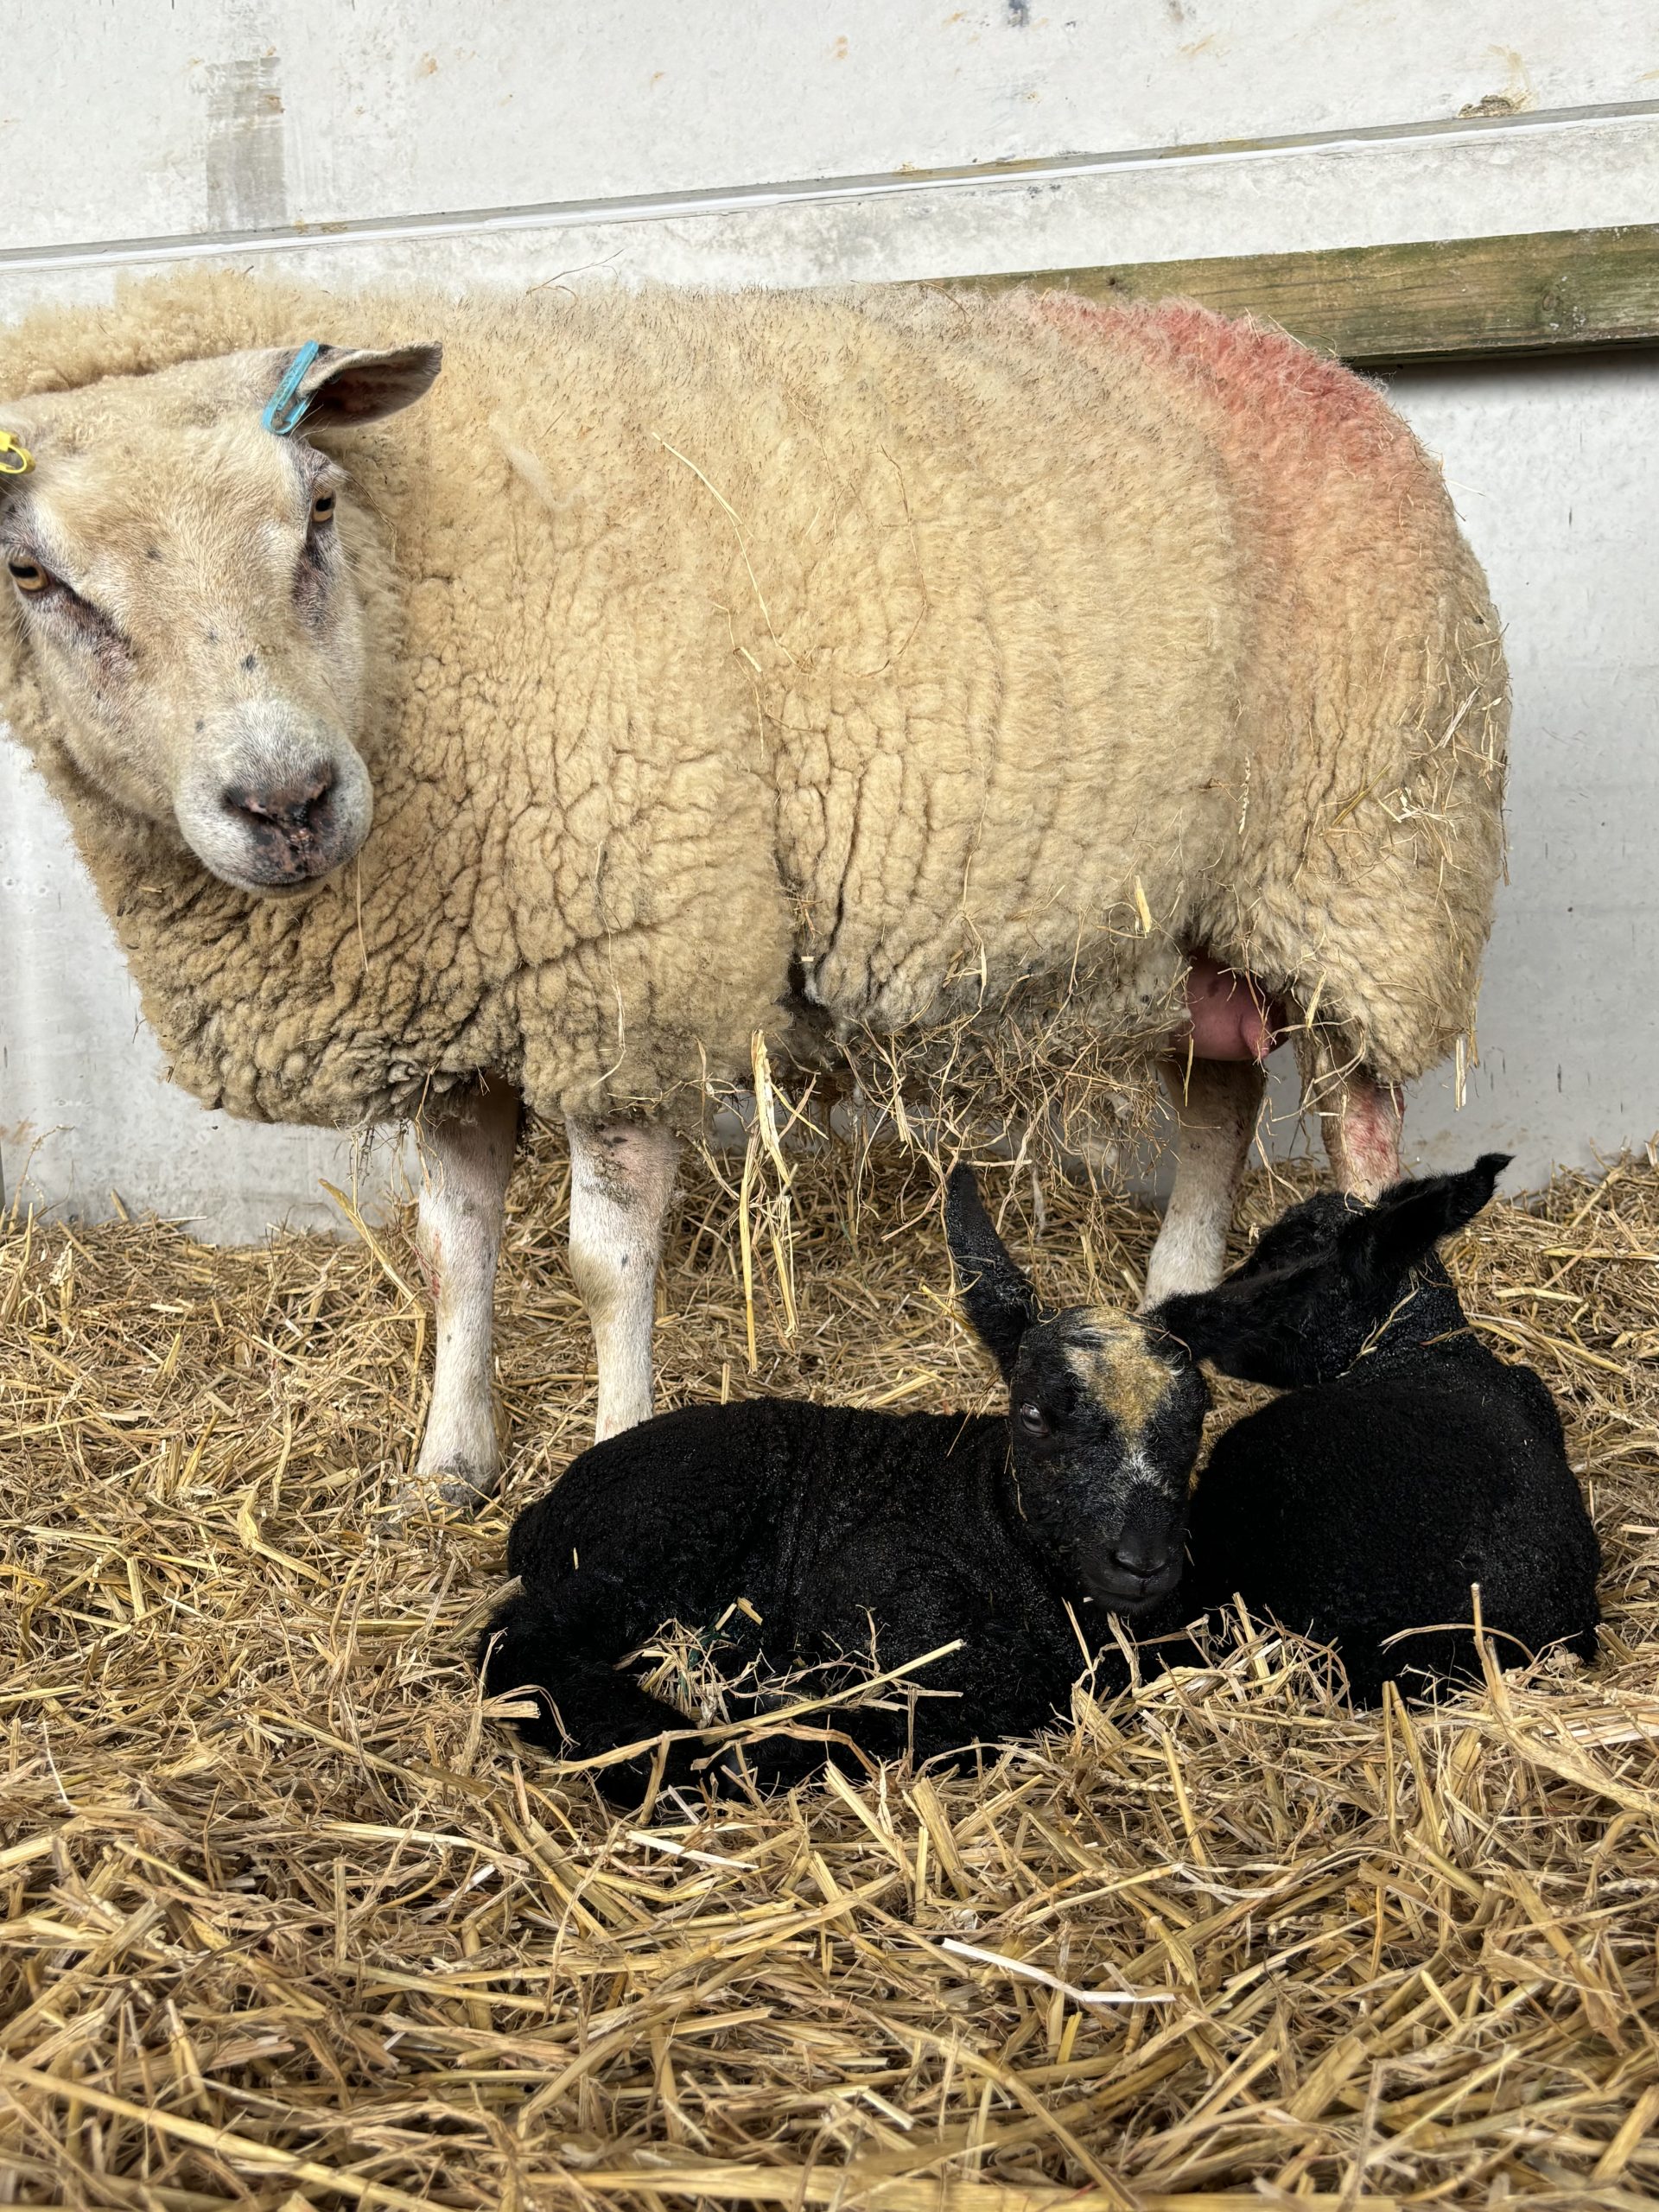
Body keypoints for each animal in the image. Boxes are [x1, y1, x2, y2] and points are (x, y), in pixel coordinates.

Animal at [0, 273, 1508, 1498]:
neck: (413, 625)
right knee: (1220, 1088)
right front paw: (448, 1465)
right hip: (1208, 900)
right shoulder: (459, 999)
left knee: (1364, 1123)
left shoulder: (632, 974)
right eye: (31, 575)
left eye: (314, 510)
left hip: (1372, 862)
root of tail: (1314, 360)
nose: (289, 802)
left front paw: (609, 1450)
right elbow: (454, 1249)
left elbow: (602, 1267)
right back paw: (1174, 1291)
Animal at [480, 1165, 1209, 1800]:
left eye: (1198, 1418)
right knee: (522, 1641)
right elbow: (969, 1693)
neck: (991, 1513)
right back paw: (668, 1752)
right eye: (1032, 1416)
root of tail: (542, 1512)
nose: (1142, 1563)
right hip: (657, 1531)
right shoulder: (869, 1585)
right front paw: (765, 1731)